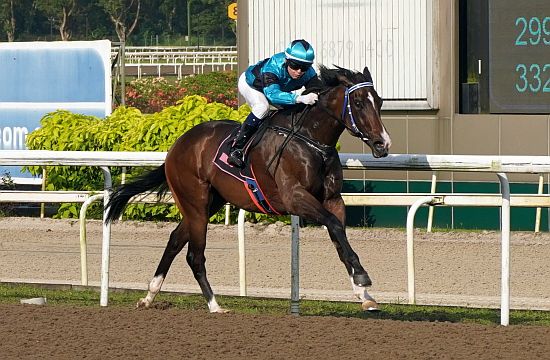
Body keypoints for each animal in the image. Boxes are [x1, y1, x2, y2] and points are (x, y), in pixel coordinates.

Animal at [106, 64, 392, 312]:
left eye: (378, 102)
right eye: (358, 103)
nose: (383, 144)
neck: (311, 140)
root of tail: (177, 145)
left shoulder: (332, 199)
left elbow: (339, 236)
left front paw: (363, 294)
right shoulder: (295, 197)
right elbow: (333, 225)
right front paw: (362, 276)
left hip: (209, 203)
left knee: (175, 239)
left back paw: (150, 295)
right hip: (195, 202)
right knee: (194, 255)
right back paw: (214, 305)